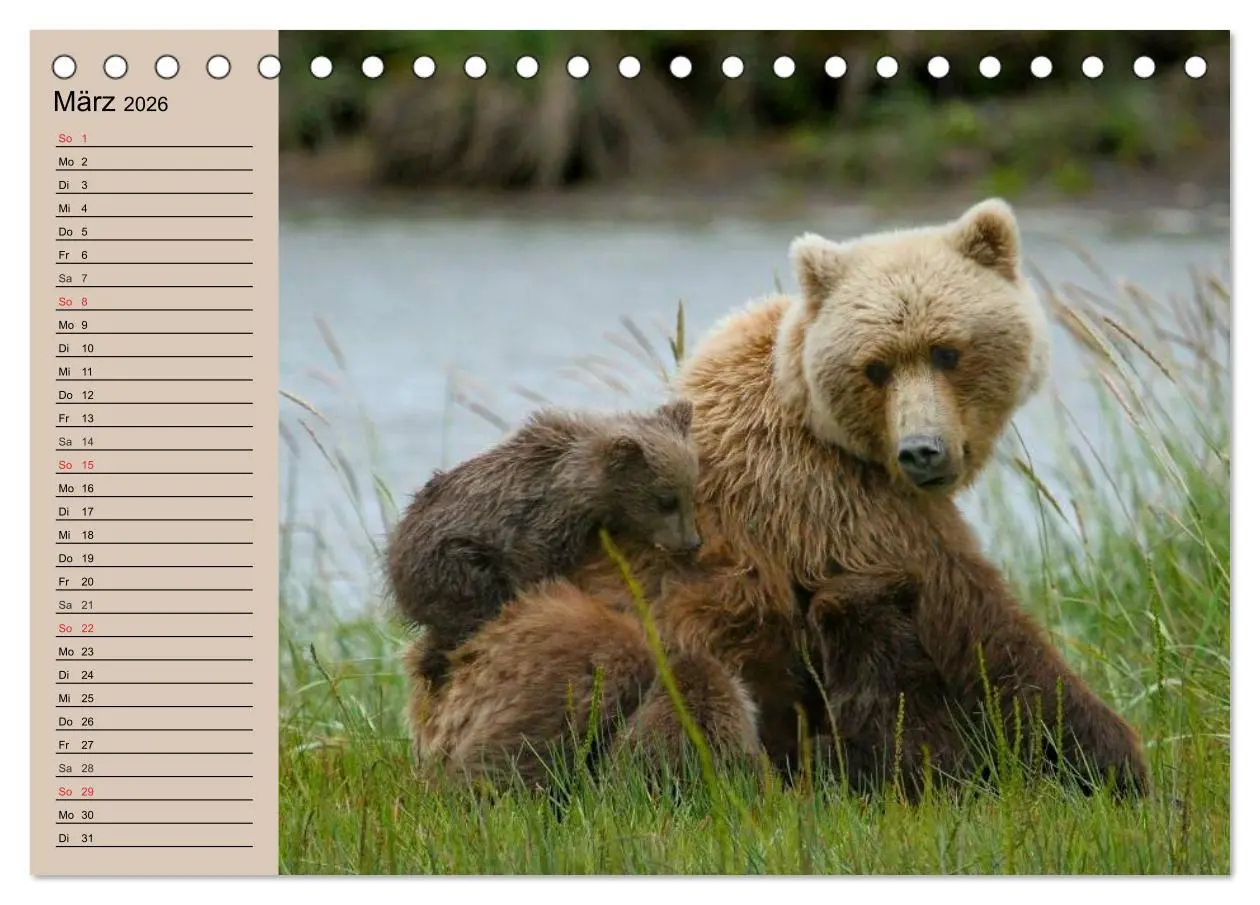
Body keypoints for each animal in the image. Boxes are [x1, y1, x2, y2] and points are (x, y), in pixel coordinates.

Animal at [386, 399, 702, 691]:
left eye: (691, 491)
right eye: (666, 500)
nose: (692, 542)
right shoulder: (540, 521)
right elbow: (532, 565)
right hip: (452, 562)